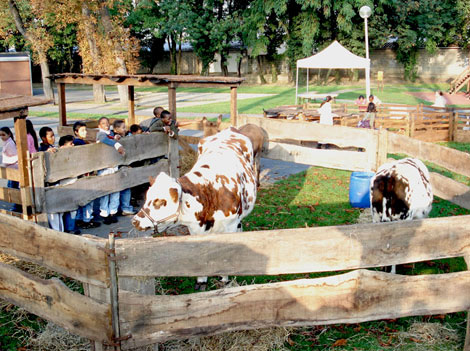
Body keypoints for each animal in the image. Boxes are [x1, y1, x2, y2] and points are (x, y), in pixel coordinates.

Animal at [132, 128, 258, 290]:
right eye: (147, 196)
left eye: (160, 202)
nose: (135, 221)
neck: (211, 193)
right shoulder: (195, 229)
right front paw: (201, 281)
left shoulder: (229, 227)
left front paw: (224, 279)